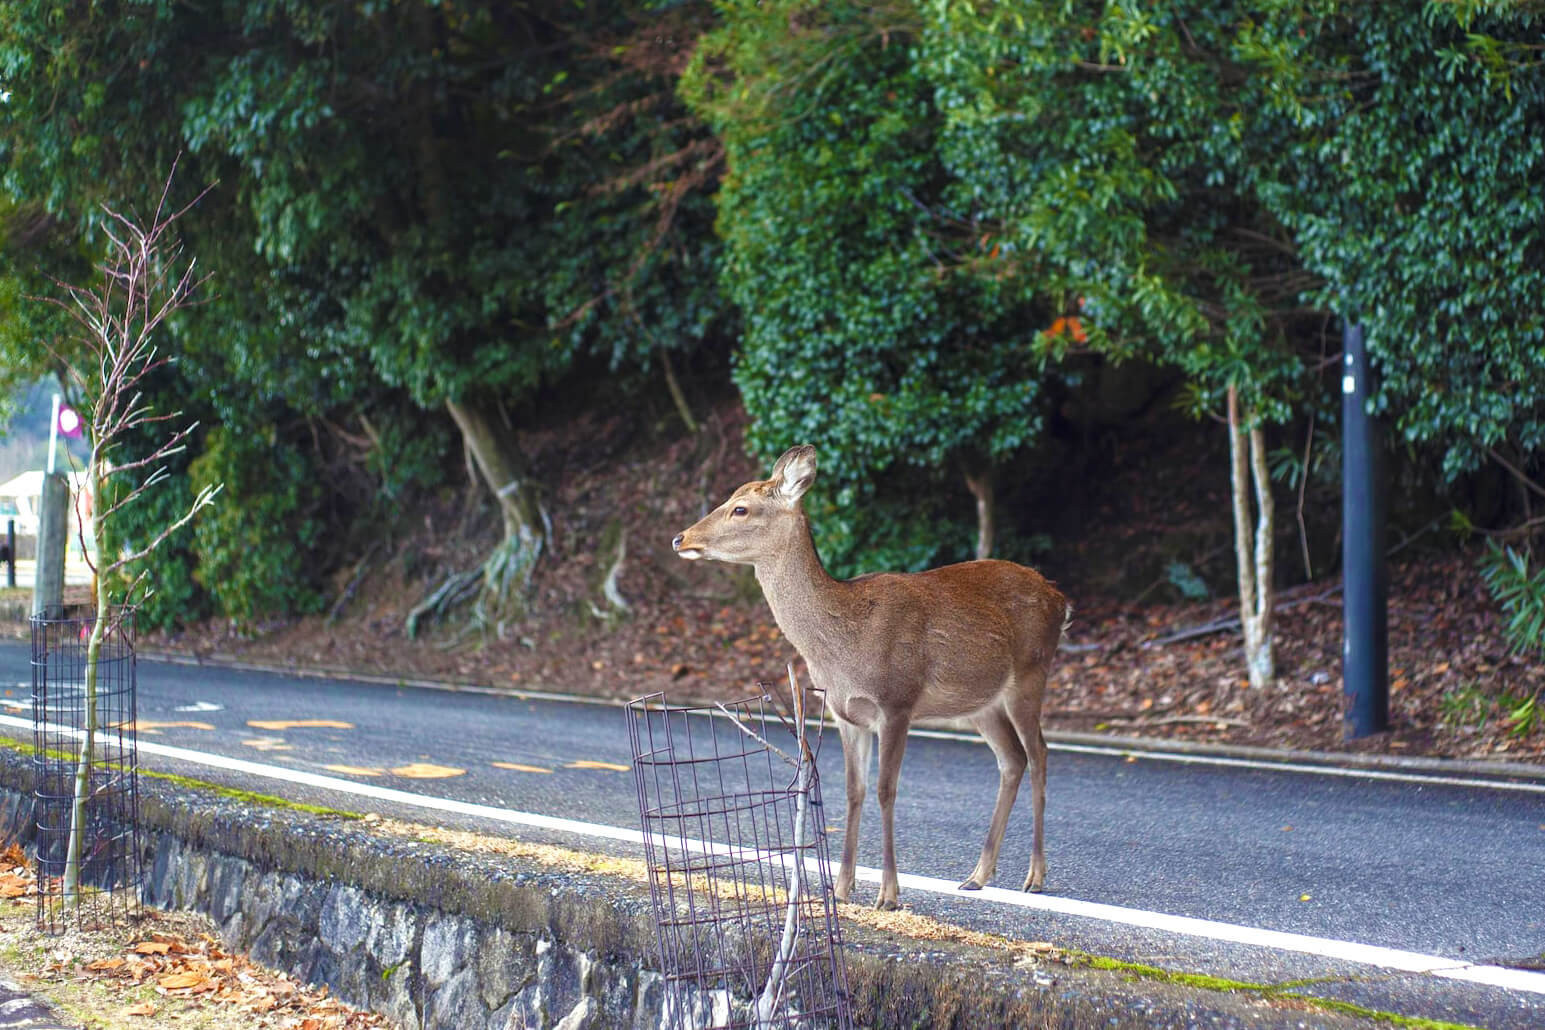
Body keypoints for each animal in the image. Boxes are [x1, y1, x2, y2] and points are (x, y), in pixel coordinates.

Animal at [670, 444, 1069, 908]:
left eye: (740, 508)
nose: (680, 538)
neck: (844, 647)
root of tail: (1060, 598)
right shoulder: (845, 713)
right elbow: (853, 790)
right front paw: (841, 888)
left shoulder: (897, 701)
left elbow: (885, 789)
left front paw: (888, 894)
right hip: (979, 703)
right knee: (1012, 759)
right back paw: (977, 875)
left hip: (1031, 672)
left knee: (1039, 753)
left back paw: (1034, 875)